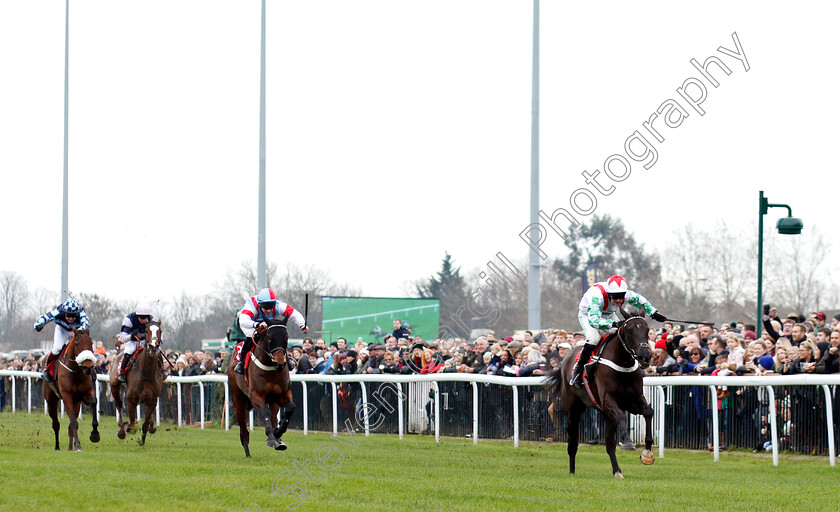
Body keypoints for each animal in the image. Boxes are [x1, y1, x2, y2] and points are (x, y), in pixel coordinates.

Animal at [228, 322, 296, 458]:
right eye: (269, 337)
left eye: (286, 336)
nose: (280, 363)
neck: (271, 369)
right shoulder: (256, 396)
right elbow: (265, 412)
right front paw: (271, 438)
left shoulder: (282, 394)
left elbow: (290, 408)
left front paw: (277, 433)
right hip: (238, 399)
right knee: (243, 430)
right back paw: (248, 454)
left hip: (273, 400)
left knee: (274, 417)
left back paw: (279, 440)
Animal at [548, 306, 660, 478]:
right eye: (629, 330)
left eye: (647, 330)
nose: (645, 357)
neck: (623, 364)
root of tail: (565, 358)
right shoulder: (609, 401)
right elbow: (622, 416)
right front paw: (628, 442)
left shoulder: (634, 400)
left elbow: (648, 411)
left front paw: (647, 452)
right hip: (572, 411)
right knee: (573, 443)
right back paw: (572, 471)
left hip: (606, 415)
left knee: (609, 445)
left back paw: (617, 471)